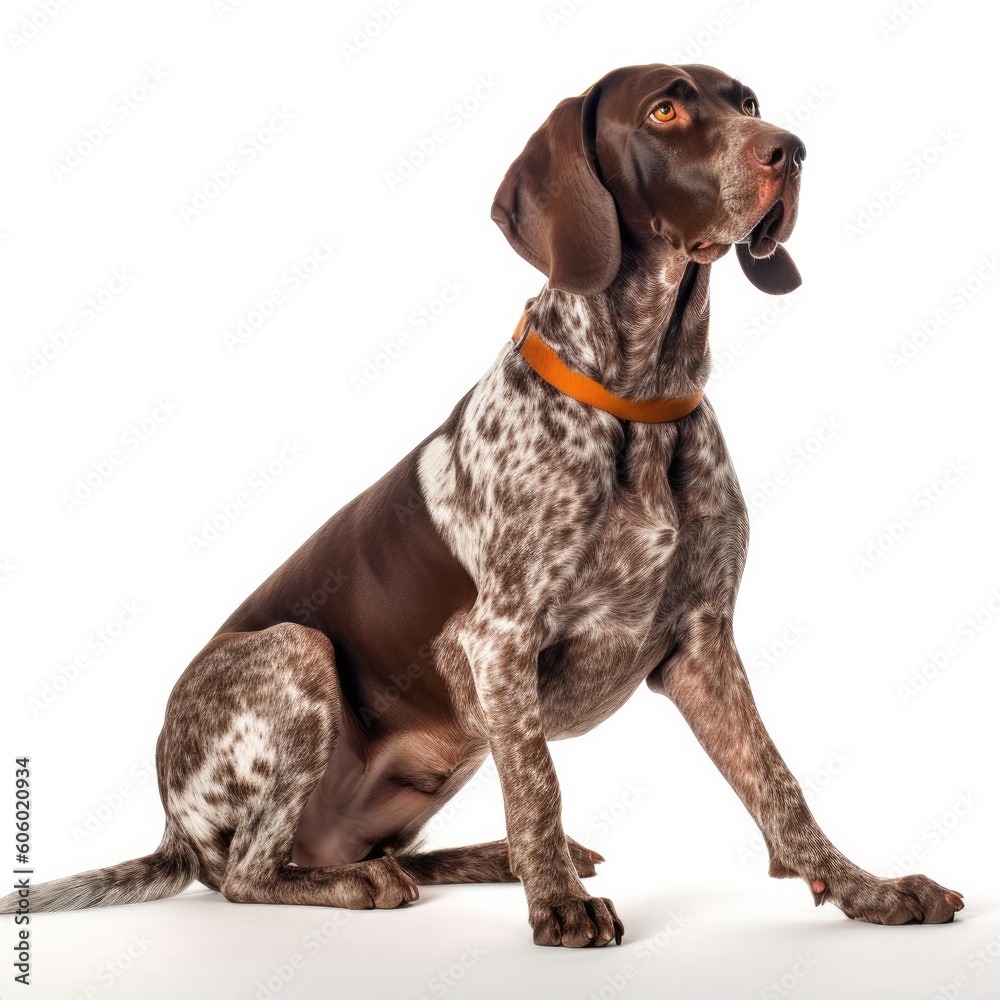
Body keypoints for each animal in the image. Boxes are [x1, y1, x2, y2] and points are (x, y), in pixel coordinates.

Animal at [3, 62, 964, 944]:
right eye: (664, 110)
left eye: (750, 102)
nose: (791, 151)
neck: (643, 404)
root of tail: (170, 827)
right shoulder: (498, 641)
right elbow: (538, 782)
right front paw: (560, 909)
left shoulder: (702, 644)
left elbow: (780, 788)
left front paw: (872, 891)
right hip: (299, 653)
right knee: (248, 873)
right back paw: (389, 882)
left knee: (381, 851)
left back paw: (485, 860)